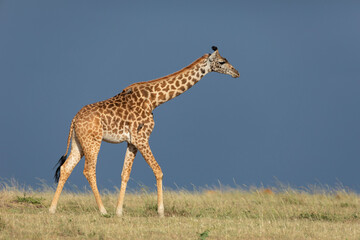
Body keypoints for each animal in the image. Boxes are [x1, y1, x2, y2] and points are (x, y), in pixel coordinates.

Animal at [47, 46, 239, 217]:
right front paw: (160, 212)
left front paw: (119, 212)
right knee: (89, 170)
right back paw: (102, 210)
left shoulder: (132, 141)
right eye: (222, 62)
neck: (154, 100)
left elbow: (125, 174)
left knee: (65, 168)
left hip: (78, 143)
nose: (236, 72)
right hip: (93, 140)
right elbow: (158, 170)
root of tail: (74, 120)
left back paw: (52, 209)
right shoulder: (142, 138)